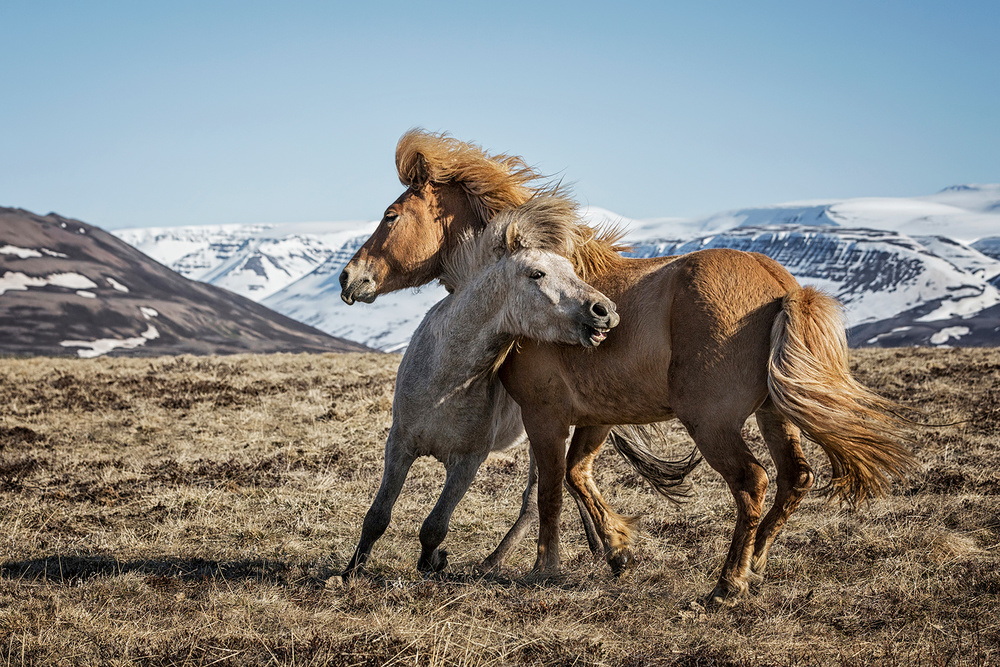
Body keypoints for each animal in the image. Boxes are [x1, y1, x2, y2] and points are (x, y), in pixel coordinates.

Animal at [340, 130, 916, 604]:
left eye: (390, 215)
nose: (350, 278)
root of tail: (781, 287)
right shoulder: (595, 418)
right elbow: (578, 477)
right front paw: (616, 551)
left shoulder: (545, 416)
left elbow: (551, 491)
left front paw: (547, 569)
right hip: (774, 414)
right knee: (796, 478)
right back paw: (755, 566)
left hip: (712, 422)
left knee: (752, 482)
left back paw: (727, 585)